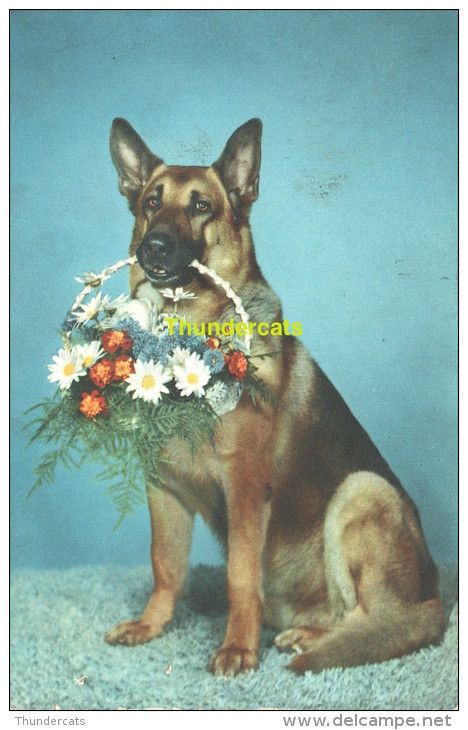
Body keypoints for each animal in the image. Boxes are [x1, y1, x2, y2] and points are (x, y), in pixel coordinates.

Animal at [104, 118, 444, 672]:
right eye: (152, 202)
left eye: (201, 206)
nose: (154, 246)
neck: (186, 341)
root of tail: (434, 598)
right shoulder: (164, 488)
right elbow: (165, 566)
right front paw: (151, 625)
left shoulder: (245, 487)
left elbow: (240, 577)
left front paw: (238, 648)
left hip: (362, 490)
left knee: (370, 619)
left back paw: (311, 640)